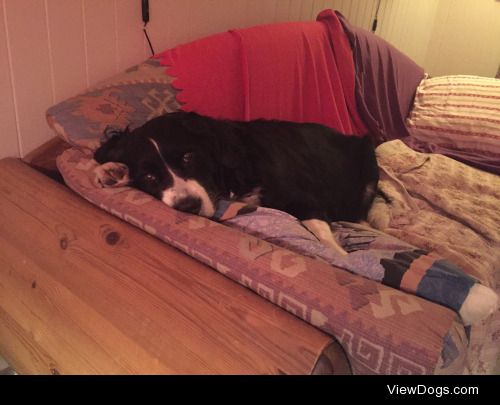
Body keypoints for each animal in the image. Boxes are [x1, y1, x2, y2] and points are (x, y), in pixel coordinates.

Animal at [94, 110, 376, 256]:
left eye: (188, 157)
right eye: (150, 178)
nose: (188, 207)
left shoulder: (303, 197)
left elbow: (321, 231)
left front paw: (341, 256)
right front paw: (112, 170)